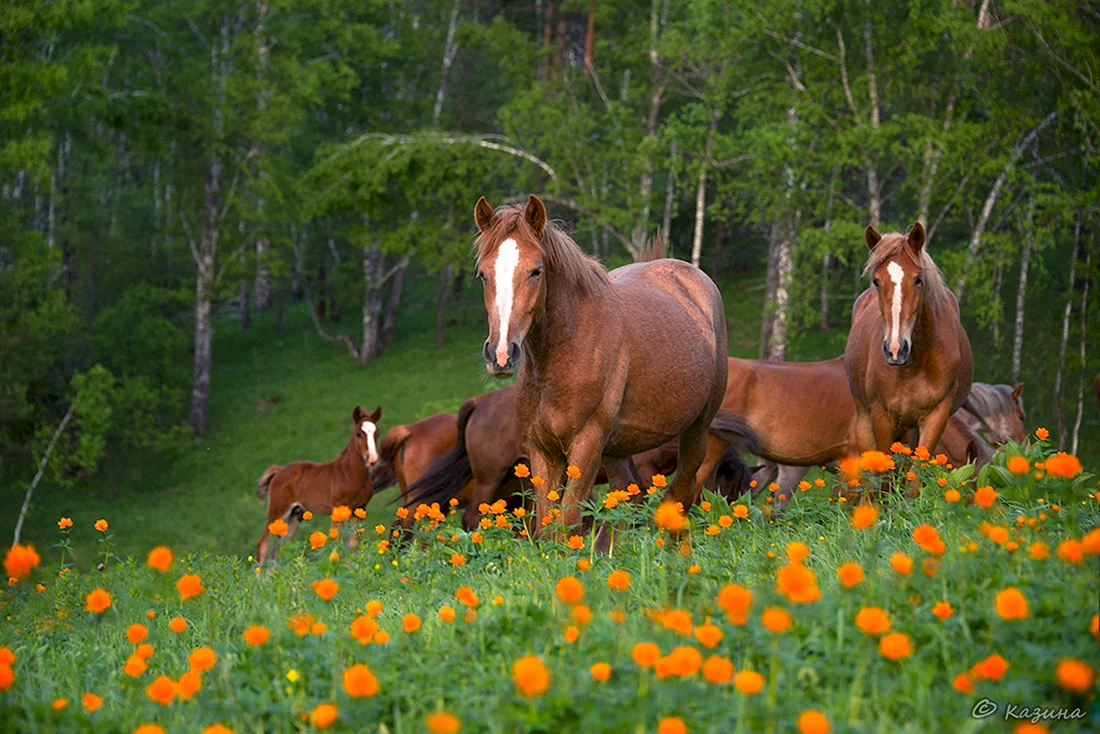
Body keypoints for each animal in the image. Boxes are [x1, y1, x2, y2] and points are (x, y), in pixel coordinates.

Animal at [257, 404, 382, 567]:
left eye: (377, 433)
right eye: (359, 433)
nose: (372, 459)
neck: (350, 473)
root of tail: (279, 470)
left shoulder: (359, 511)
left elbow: (352, 546)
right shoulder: (338, 511)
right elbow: (336, 544)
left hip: (295, 514)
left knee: (278, 547)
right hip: (278, 510)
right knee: (263, 544)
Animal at [473, 194, 730, 534]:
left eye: (536, 271)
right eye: (483, 274)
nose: (501, 353)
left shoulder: (586, 445)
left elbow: (567, 523)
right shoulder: (543, 452)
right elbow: (547, 528)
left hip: (697, 429)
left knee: (680, 496)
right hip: (616, 451)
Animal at [844, 221, 976, 455]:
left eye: (918, 279)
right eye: (876, 281)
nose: (896, 349)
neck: (915, 366)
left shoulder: (935, 418)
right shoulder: (881, 418)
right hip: (864, 419)